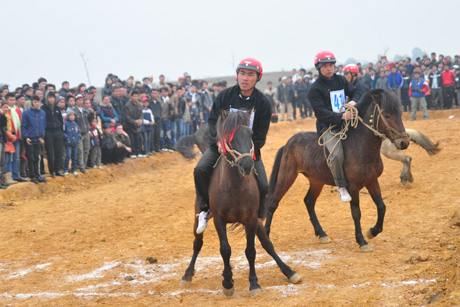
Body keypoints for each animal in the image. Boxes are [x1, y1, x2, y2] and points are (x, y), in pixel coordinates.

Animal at [181, 110, 304, 298]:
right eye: (229, 139)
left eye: (250, 134)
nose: (247, 164)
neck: (235, 187)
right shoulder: (219, 220)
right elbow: (225, 249)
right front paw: (227, 283)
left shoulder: (251, 219)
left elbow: (251, 250)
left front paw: (253, 283)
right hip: (198, 217)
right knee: (197, 243)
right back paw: (188, 274)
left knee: (267, 244)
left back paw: (289, 272)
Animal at [264, 89, 412, 253]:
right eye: (386, 115)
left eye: (399, 113)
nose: (404, 142)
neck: (361, 147)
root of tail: (287, 144)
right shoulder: (353, 187)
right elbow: (356, 213)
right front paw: (362, 241)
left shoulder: (372, 181)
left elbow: (381, 207)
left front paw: (372, 232)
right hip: (287, 176)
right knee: (273, 202)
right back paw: (267, 236)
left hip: (316, 180)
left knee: (309, 201)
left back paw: (322, 234)